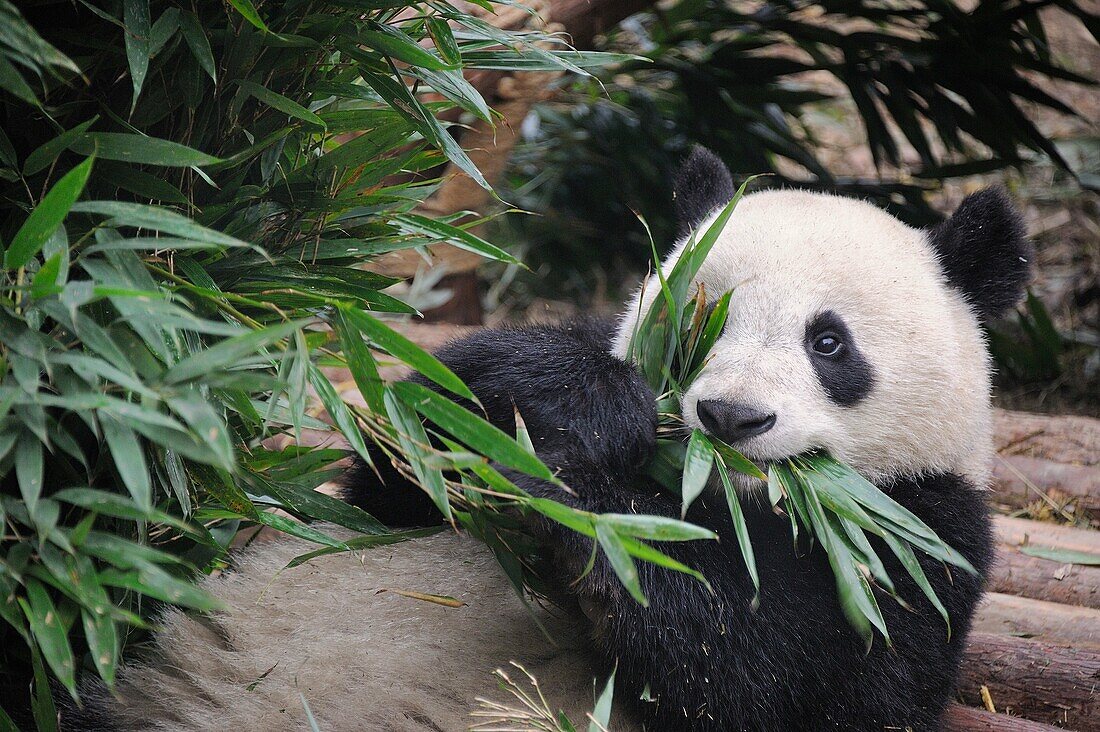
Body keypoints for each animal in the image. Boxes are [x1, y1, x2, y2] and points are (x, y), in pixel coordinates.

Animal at [62, 145, 1029, 726]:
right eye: (696, 327)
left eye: (829, 343)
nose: (729, 420)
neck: (716, 497)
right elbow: (401, 470)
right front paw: (583, 407)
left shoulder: (918, 541)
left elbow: (769, 673)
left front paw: (583, 505)